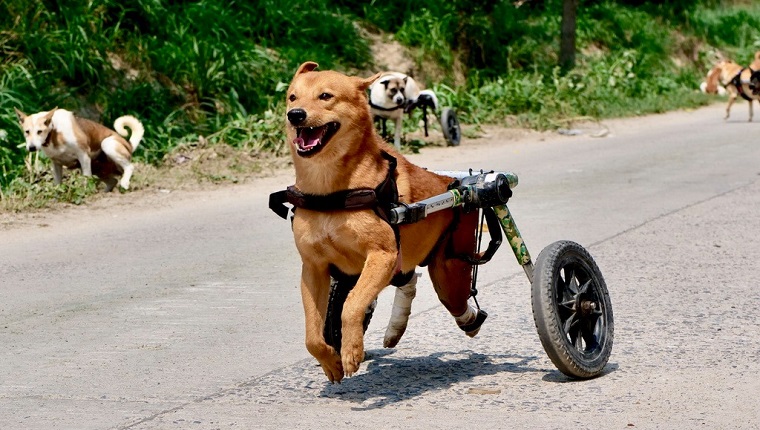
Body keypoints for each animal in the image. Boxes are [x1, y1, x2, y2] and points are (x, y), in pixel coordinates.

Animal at [15, 106, 144, 191]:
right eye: (27, 132)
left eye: (39, 131)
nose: (31, 148)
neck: (54, 132)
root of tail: (129, 145)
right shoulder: (56, 163)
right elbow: (57, 183)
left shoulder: (84, 156)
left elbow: (86, 178)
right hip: (98, 167)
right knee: (113, 181)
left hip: (107, 144)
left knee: (129, 167)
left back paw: (125, 182)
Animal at [276, 61, 484, 382]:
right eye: (292, 97)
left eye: (325, 96)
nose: (295, 115)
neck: (330, 191)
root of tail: (454, 183)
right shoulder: (314, 268)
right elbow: (312, 334)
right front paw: (331, 360)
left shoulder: (382, 255)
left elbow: (351, 306)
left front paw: (350, 350)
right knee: (409, 280)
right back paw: (395, 328)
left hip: (449, 271)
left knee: (456, 302)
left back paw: (470, 320)